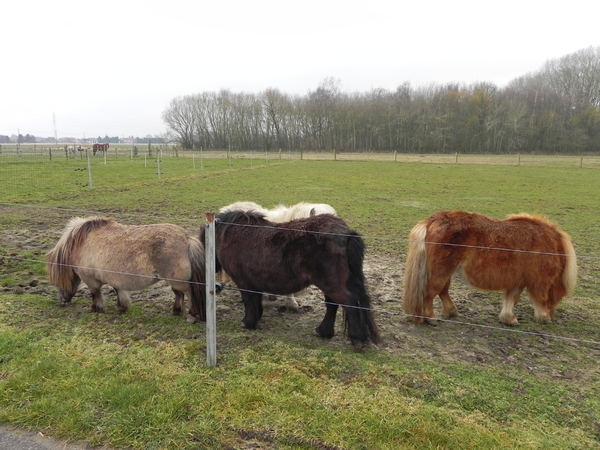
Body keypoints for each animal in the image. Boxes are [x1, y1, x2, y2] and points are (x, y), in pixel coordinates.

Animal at [46, 216, 206, 322]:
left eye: (57, 280)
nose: (61, 299)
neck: (80, 244)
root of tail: (186, 238)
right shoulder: (114, 276)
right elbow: (118, 290)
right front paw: (122, 307)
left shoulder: (90, 279)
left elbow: (95, 293)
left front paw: (96, 308)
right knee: (179, 294)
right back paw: (176, 311)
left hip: (178, 281)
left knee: (188, 293)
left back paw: (192, 315)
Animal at [202, 209, 380, 350]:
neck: (232, 233)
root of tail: (345, 233)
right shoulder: (254, 282)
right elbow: (256, 301)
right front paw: (256, 319)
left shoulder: (244, 282)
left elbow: (248, 301)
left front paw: (247, 322)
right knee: (332, 305)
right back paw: (323, 331)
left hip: (332, 284)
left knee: (349, 303)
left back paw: (356, 339)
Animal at [404, 209, 576, 326]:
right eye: (560, 293)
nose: (552, 316)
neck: (549, 245)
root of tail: (432, 220)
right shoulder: (539, 282)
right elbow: (540, 298)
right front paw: (543, 316)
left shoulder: (517, 281)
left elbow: (512, 299)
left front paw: (509, 319)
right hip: (441, 271)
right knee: (430, 293)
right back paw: (431, 318)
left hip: (445, 271)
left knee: (442, 291)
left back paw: (451, 312)